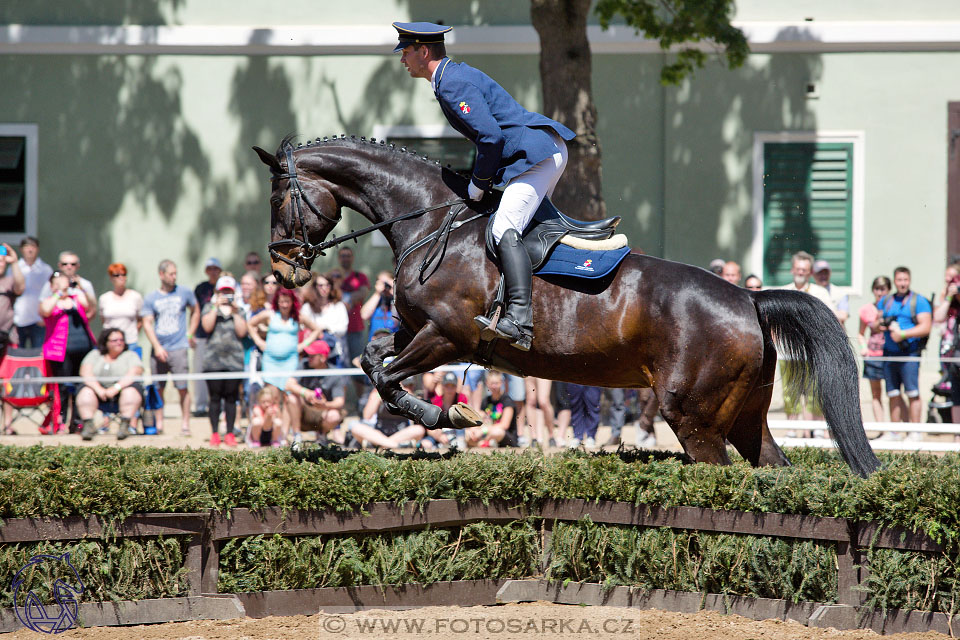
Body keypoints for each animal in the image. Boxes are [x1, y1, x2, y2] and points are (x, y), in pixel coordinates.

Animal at [253, 138, 876, 478]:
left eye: (279, 198)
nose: (282, 272)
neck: (431, 224)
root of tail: (749, 297)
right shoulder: (417, 331)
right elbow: (372, 360)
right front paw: (442, 413)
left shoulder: (447, 336)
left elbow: (385, 377)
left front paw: (446, 415)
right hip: (745, 417)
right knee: (775, 471)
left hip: (694, 419)